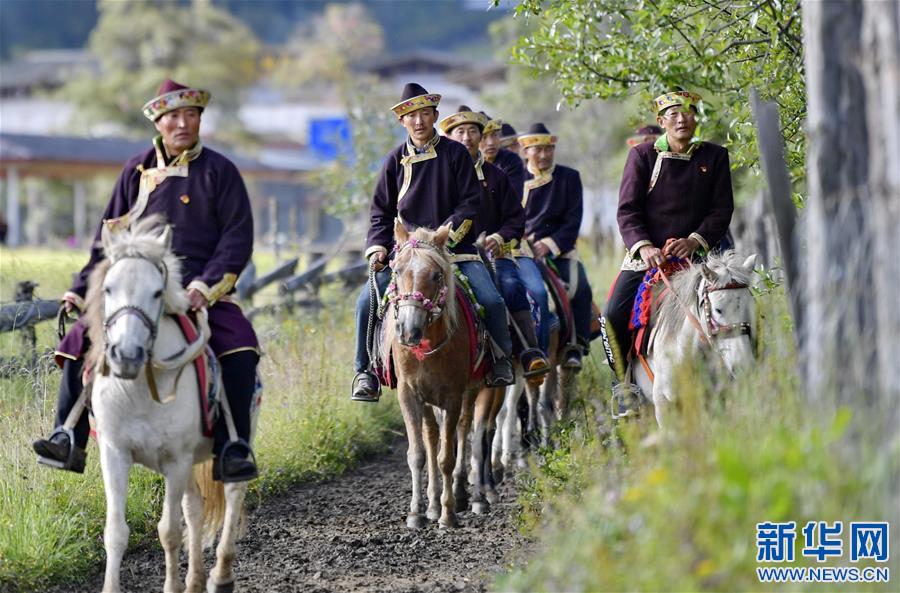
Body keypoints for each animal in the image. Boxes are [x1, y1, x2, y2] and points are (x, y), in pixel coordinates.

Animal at [84, 217, 255, 592]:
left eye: (157, 293)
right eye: (108, 289)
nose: (126, 355)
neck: (138, 391)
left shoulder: (176, 459)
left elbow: (169, 531)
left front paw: (173, 586)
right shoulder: (115, 453)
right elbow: (116, 532)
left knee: (233, 492)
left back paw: (221, 575)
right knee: (194, 506)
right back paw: (196, 579)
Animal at [386, 222, 486, 528]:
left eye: (436, 274)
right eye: (397, 271)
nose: (409, 331)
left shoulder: (453, 396)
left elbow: (447, 458)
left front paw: (448, 514)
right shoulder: (408, 394)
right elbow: (418, 454)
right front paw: (416, 512)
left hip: (471, 391)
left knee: (464, 430)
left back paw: (466, 496)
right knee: (431, 436)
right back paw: (431, 504)